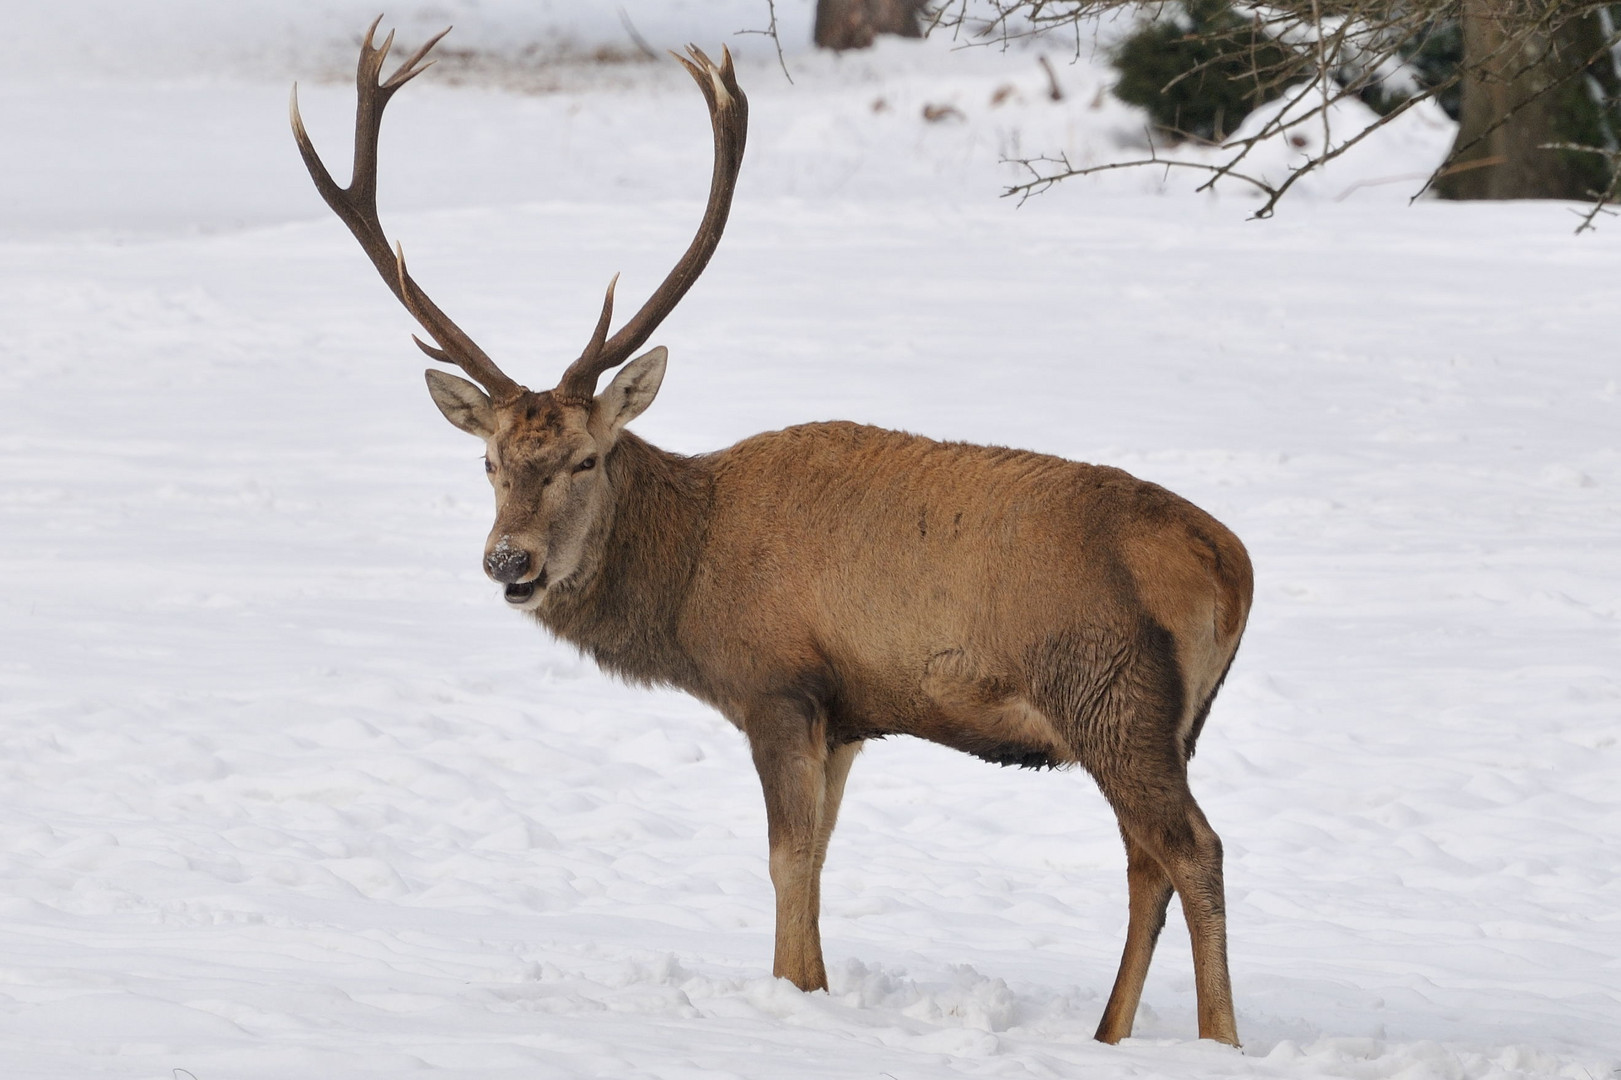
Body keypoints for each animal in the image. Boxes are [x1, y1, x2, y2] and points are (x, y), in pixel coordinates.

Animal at [291, 18, 1251, 1044]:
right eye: (489, 463)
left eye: (586, 458)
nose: (509, 559)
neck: (690, 584)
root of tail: (1231, 566)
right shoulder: (850, 714)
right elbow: (821, 857)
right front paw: (814, 987)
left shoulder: (777, 683)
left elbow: (787, 860)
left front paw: (794, 993)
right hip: (1160, 721)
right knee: (1144, 860)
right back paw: (1107, 1034)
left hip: (1109, 692)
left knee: (1192, 848)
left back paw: (1217, 1039)